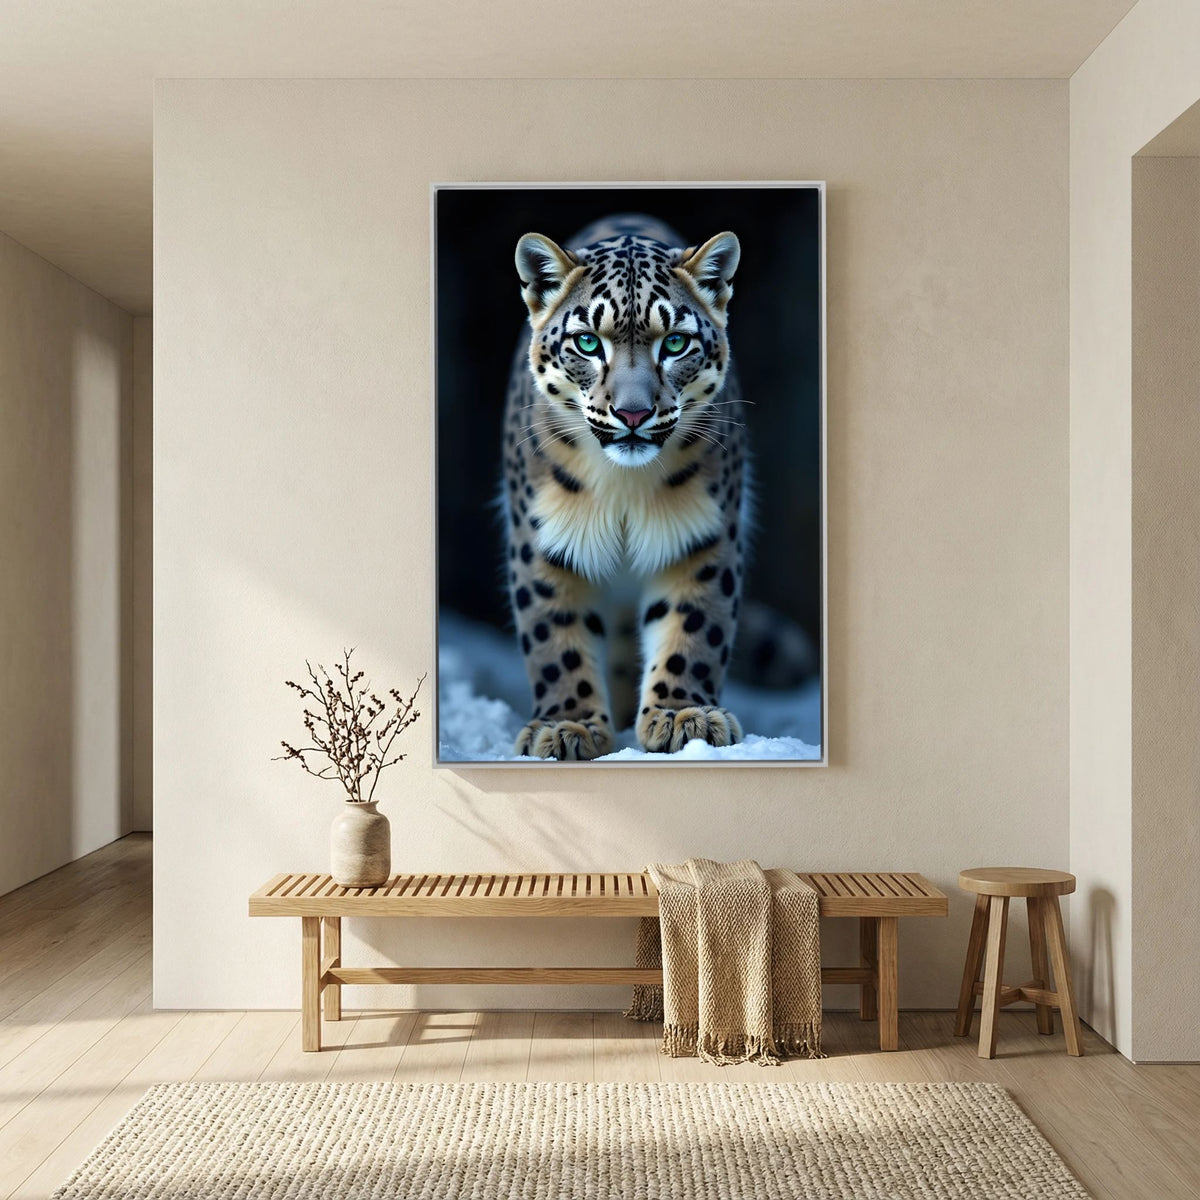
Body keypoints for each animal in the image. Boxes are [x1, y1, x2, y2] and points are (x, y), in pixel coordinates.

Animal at [501, 213, 750, 760]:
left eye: (675, 342)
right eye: (588, 342)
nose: (633, 414)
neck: (623, 488)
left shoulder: (702, 536)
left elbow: (693, 625)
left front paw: (683, 716)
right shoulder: (544, 541)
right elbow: (555, 636)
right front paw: (567, 725)